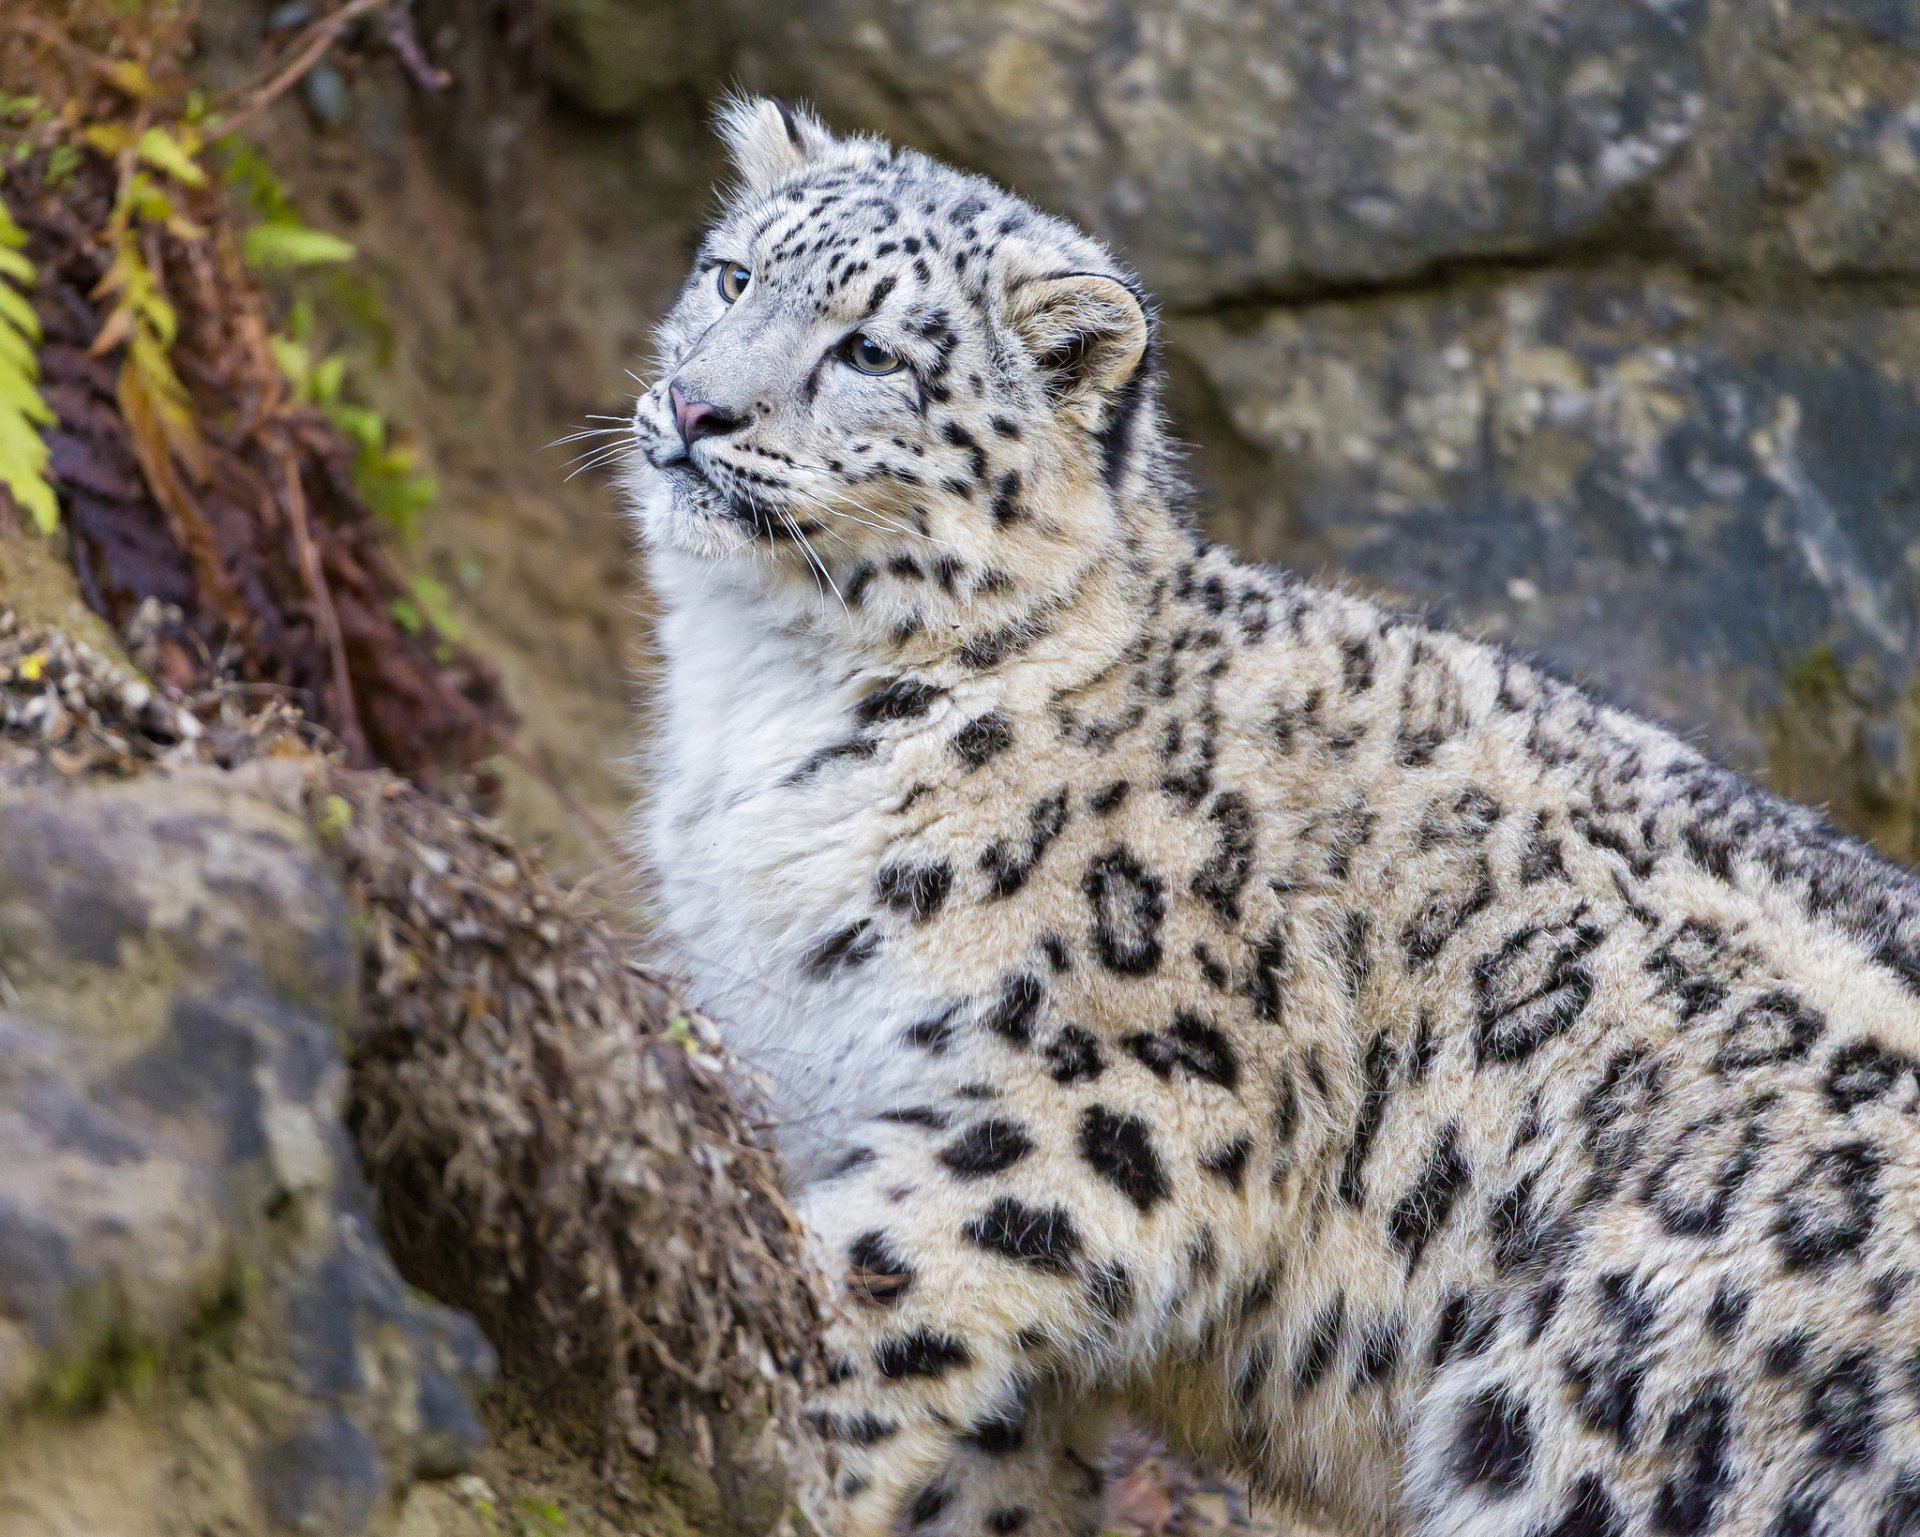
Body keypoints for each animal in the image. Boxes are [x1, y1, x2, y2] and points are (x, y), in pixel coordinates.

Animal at [623, 96, 1920, 1537]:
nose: (697, 404)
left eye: (869, 350)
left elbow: (886, 1265)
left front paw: (751, 1406)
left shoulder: (1118, 1086)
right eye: (732, 276)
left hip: (1606, 1413)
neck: (763, 696)